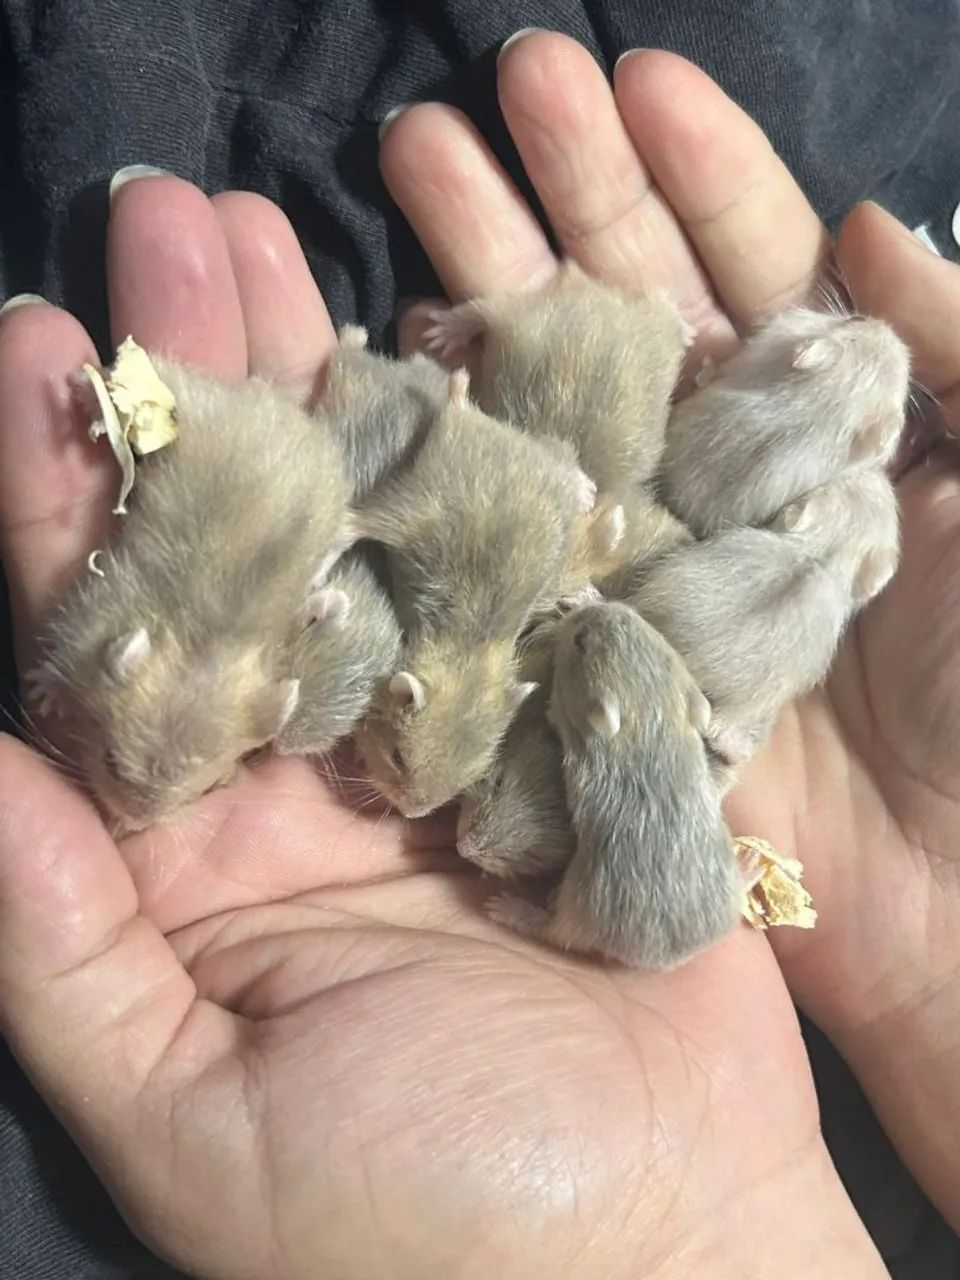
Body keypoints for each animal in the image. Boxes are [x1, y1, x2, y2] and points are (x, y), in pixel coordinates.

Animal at [29, 359, 353, 830]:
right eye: (109, 761)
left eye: (202, 790)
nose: (130, 824)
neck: (207, 648)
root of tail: (277, 405)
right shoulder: (94, 611)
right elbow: (60, 658)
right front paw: (44, 695)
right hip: (196, 412)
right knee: (171, 382)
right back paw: (90, 392)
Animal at [354, 370, 596, 816]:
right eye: (398, 758)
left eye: (465, 780)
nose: (412, 814)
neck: (469, 657)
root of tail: (468, 416)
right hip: (413, 504)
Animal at [491, 603, 738, 969]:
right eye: (654, 632)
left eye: (579, 641)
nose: (592, 607)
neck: (650, 723)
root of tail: (677, 955)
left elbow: (555, 714)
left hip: (582, 901)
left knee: (555, 932)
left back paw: (513, 911)